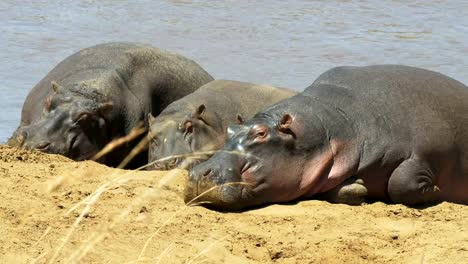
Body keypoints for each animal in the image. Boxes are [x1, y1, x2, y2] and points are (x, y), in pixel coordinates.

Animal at [186, 64, 468, 210]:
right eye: (229, 131)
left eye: (261, 133)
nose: (198, 174)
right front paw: (356, 187)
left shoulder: (422, 153)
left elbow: (402, 181)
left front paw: (436, 190)